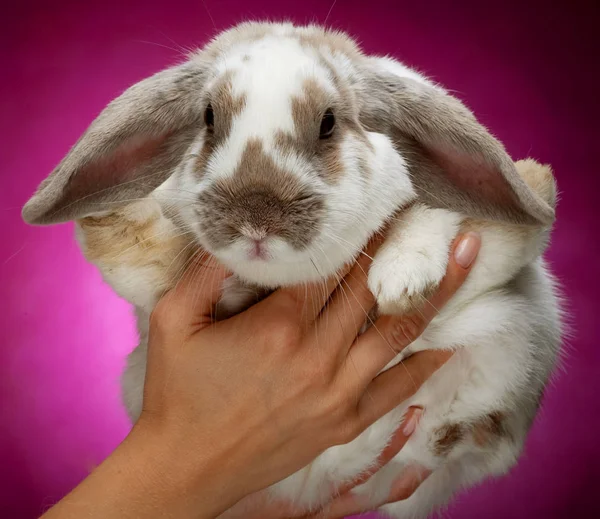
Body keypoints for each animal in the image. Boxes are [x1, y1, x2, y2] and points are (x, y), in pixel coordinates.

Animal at [22, 21, 564, 519]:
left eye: (328, 122)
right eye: (208, 117)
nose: (256, 214)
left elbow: (439, 212)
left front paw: (402, 277)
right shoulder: (161, 294)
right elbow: (149, 263)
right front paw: (114, 218)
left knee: (530, 200)